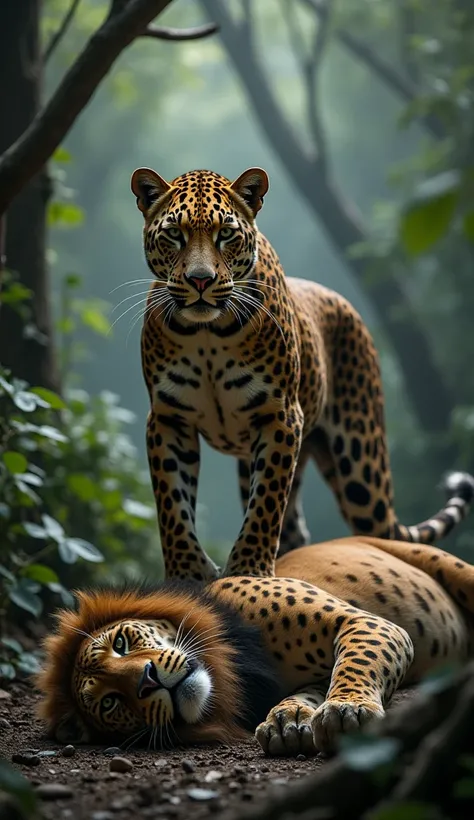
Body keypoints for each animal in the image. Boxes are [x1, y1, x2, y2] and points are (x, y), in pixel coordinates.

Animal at [39, 524, 474, 760]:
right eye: (110, 703)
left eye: (121, 643)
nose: (146, 681)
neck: (239, 667)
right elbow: (312, 688)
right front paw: (288, 721)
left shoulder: (361, 622)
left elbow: (355, 663)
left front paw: (347, 710)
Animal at [131, 165, 474, 584]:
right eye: (173, 235)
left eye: (225, 234)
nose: (200, 280)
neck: (207, 332)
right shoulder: (169, 418)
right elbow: (172, 503)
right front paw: (188, 572)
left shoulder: (280, 415)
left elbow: (265, 504)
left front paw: (250, 568)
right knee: (292, 525)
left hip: (362, 471)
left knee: (380, 530)